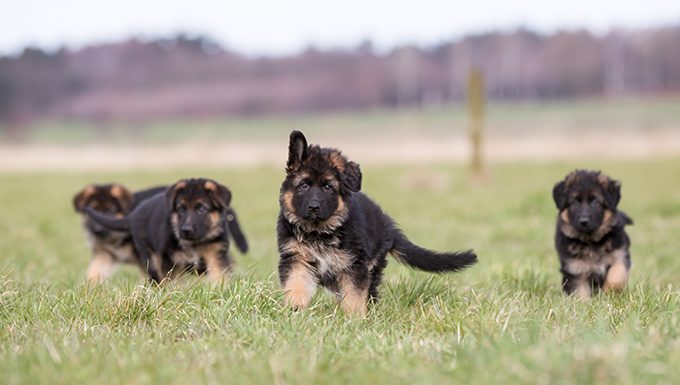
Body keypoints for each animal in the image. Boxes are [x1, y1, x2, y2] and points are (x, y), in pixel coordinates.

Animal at [85, 178, 248, 282]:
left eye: (201, 209)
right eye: (181, 209)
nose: (186, 230)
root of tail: (134, 215)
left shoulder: (216, 253)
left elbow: (221, 276)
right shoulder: (168, 259)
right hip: (150, 256)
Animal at [276, 130, 478, 314]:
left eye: (327, 187)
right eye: (304, 185)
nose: (314, 207)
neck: (319, 232)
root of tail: (388, 225)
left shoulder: (354, 265)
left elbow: (354, 296)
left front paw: (354, 319)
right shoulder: (296, 259)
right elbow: (296, 284)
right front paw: (295, 309)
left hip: (373, 265)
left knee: (370, 293)